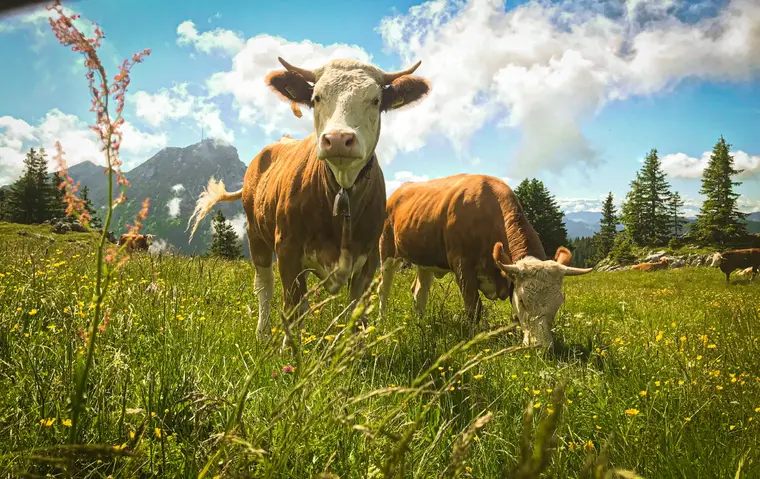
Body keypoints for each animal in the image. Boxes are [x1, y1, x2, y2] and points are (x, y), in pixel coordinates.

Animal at [187, 57, 431, 348]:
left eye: (375, 100)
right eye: (316, 97)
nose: (338, 139)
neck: (341, 191)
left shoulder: (370, 256)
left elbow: (355, 312)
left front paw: (355, 351)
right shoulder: (288, 249)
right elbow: (293, 308)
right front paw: (289, 352)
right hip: (255, 233)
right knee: (264, 286)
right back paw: (262, 333)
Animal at [377, 174, 593, 348]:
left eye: (558, 303)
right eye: (523, 301)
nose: (541, 346)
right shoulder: (462, 265)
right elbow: (474, 309)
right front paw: (473, 338)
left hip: (425, 259)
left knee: (419, 292)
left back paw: (421, 323)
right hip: (386, 250)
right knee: (383, 289)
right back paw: (382, 322)